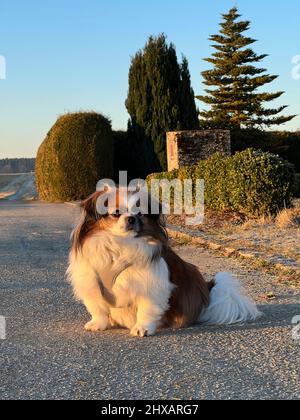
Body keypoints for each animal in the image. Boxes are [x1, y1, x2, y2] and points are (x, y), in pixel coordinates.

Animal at [67, 187, 260, 338]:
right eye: (116, 213)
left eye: (140, 213)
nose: (131, 218)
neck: (121, 246)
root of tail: (207, 290)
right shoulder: (91, 281)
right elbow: (97, 307)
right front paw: (98, 324)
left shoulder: (151, 285)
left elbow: (147, 309)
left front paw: (142, 328)